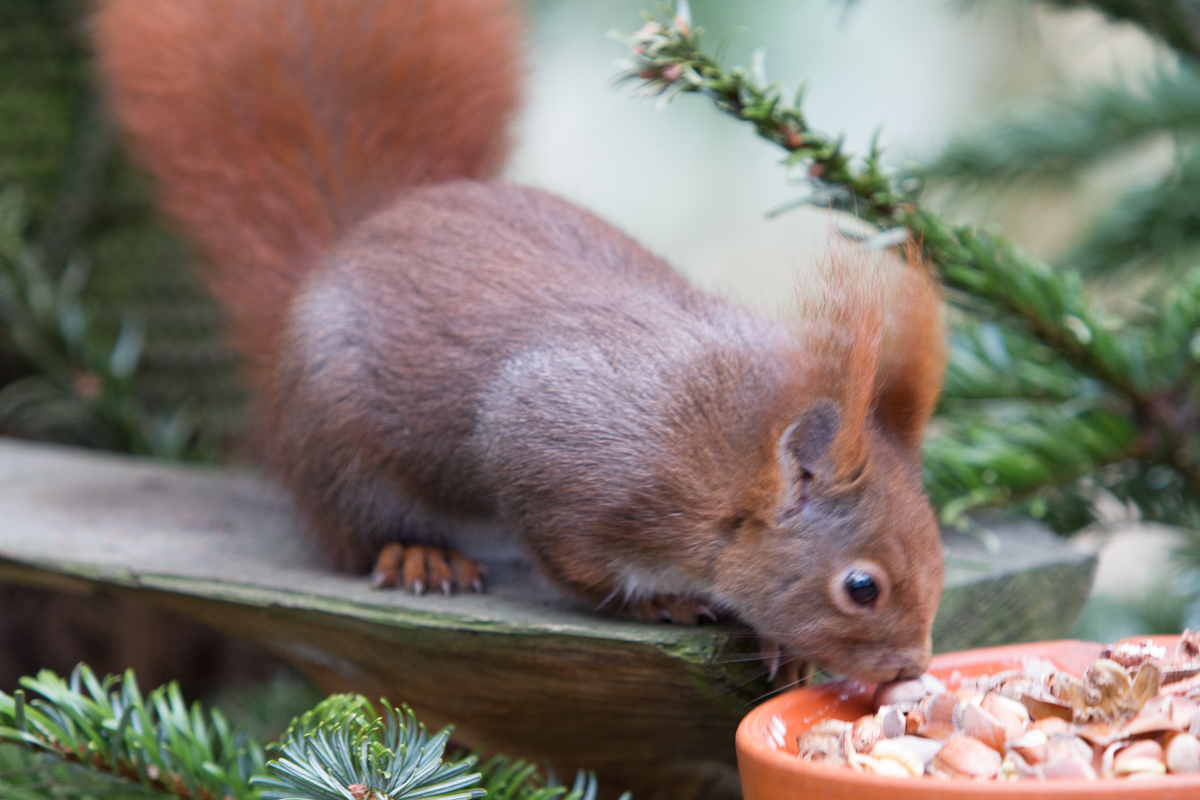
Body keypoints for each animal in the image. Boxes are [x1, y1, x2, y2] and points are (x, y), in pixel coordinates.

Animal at [91, 0, 945, 681]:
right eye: (861, 587)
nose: (911, 668)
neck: (726, 465)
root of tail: (347, 245)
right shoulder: (556, 452)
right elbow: (573, 564)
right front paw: (663, 600)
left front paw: (782, 647)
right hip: (338, 446)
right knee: (352, 531)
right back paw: (416, 553)